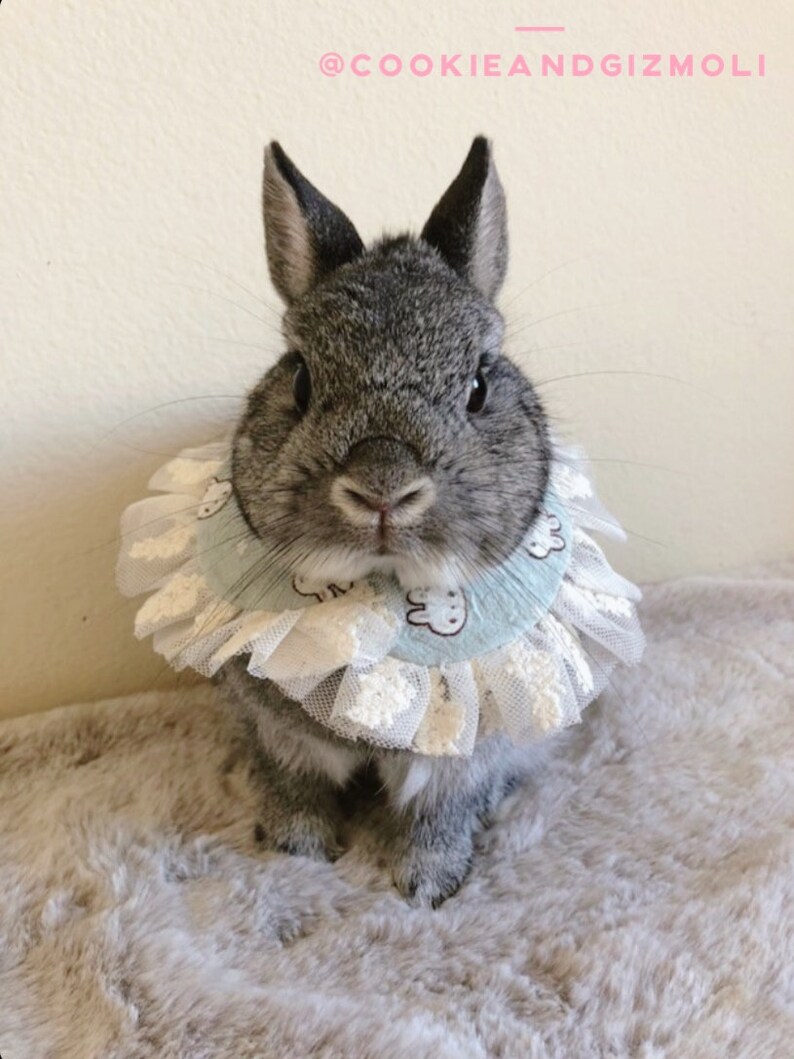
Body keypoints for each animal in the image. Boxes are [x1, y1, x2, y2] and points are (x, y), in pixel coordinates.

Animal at [215, 136, 554, 907]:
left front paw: (427, 885)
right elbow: (294, 784)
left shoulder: (461, 755)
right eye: (300, 377)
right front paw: (298, 849)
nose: (382, 488)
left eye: (479, 385)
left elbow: (439, 813)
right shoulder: (278, 731)